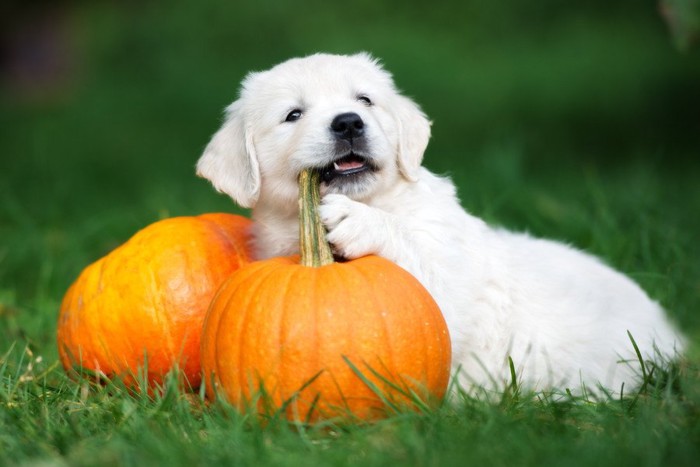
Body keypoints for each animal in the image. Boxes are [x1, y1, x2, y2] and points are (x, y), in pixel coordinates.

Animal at [197, 53, 684, 396]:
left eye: (364, 100)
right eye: (293, 115)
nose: (349, 123)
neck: (383, 199)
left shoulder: (447, 293)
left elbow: (418, 260)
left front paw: (355, 219)